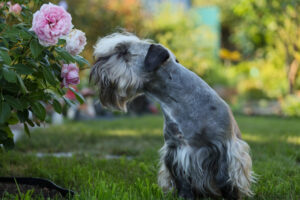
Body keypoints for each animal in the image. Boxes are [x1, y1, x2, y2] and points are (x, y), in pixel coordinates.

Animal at [89, 32, 255, 199]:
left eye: (123, 52)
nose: (96, 65)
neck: (180, 101)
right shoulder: (175, 150)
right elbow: (181, 180)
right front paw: (184, 196)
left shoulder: (223, 147)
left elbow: (224, 179)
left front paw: (231, 196)